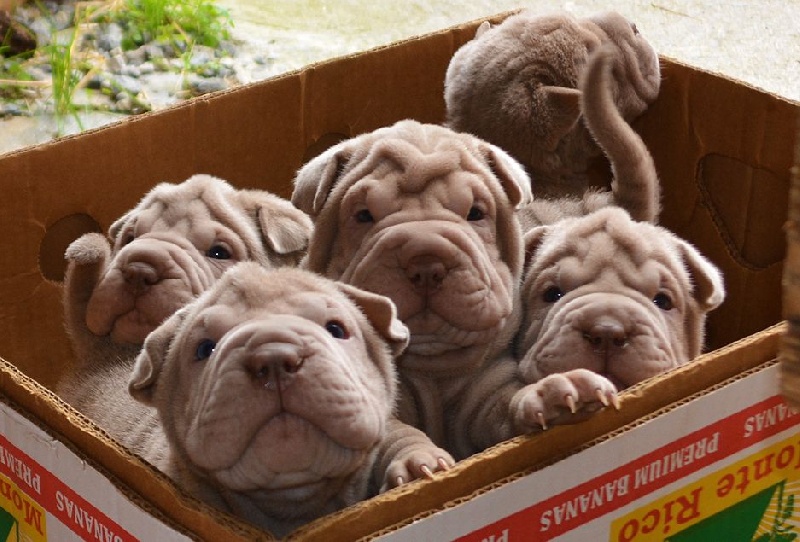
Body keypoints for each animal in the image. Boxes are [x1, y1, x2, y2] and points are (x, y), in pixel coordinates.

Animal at [71, 264, 450, 540]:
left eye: (336, 329)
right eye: (204, 348)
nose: (274, 356)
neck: (291, 499)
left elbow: (397, 435)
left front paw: (416, 466)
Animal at [290, 119, 588, 460]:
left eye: (475, 213)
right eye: (363, 215)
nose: (426, 264)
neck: (432, 367)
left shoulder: (487, 392)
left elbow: (508, 400)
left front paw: (548, 395)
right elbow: (395, 433)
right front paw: (419, 460)